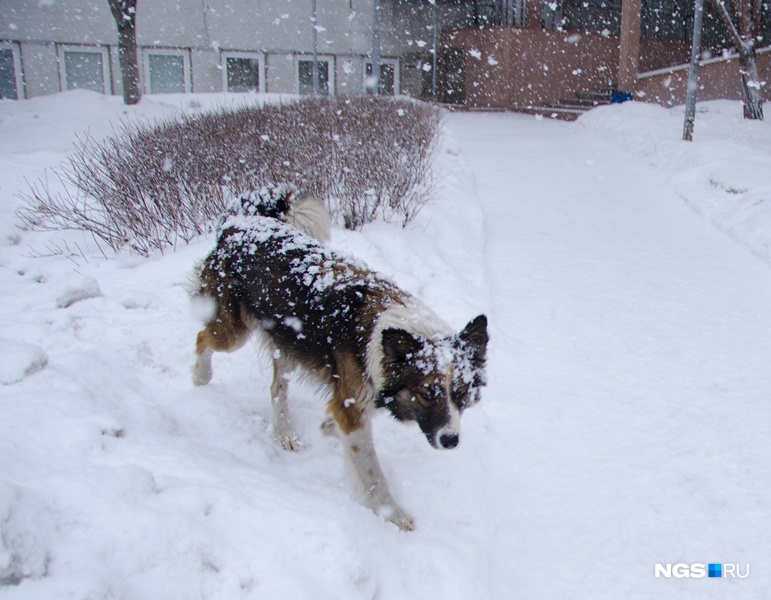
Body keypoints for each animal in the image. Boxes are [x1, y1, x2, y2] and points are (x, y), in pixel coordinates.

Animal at [191, 184, 488, 528]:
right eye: (427, 393)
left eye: (462, 393)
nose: (451, 440)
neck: (384, 337)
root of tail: (241, 221)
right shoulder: (353, 410)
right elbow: (373, 473)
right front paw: (393, 515)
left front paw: (326, 427)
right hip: (234, 331)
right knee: (202, 339)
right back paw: (200, 377)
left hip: (288, 342)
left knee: (277, 387)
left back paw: (285, 433)